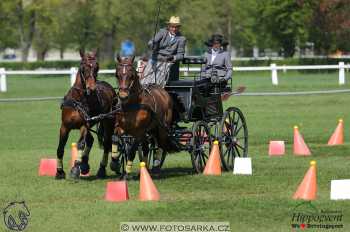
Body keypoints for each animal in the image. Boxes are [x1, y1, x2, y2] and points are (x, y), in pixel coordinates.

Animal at [56, 50, 116, 179]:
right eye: (84, 67)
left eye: (97, 67)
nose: (91, 88)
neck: (78, 100)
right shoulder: (64, 127)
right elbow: (60, 147)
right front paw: (59, 171)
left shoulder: (84, 125)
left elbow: (80, 144)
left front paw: (75, 168)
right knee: (91, 139)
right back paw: (84, 164)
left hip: (108, 121)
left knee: (106, 143)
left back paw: (101, 169)